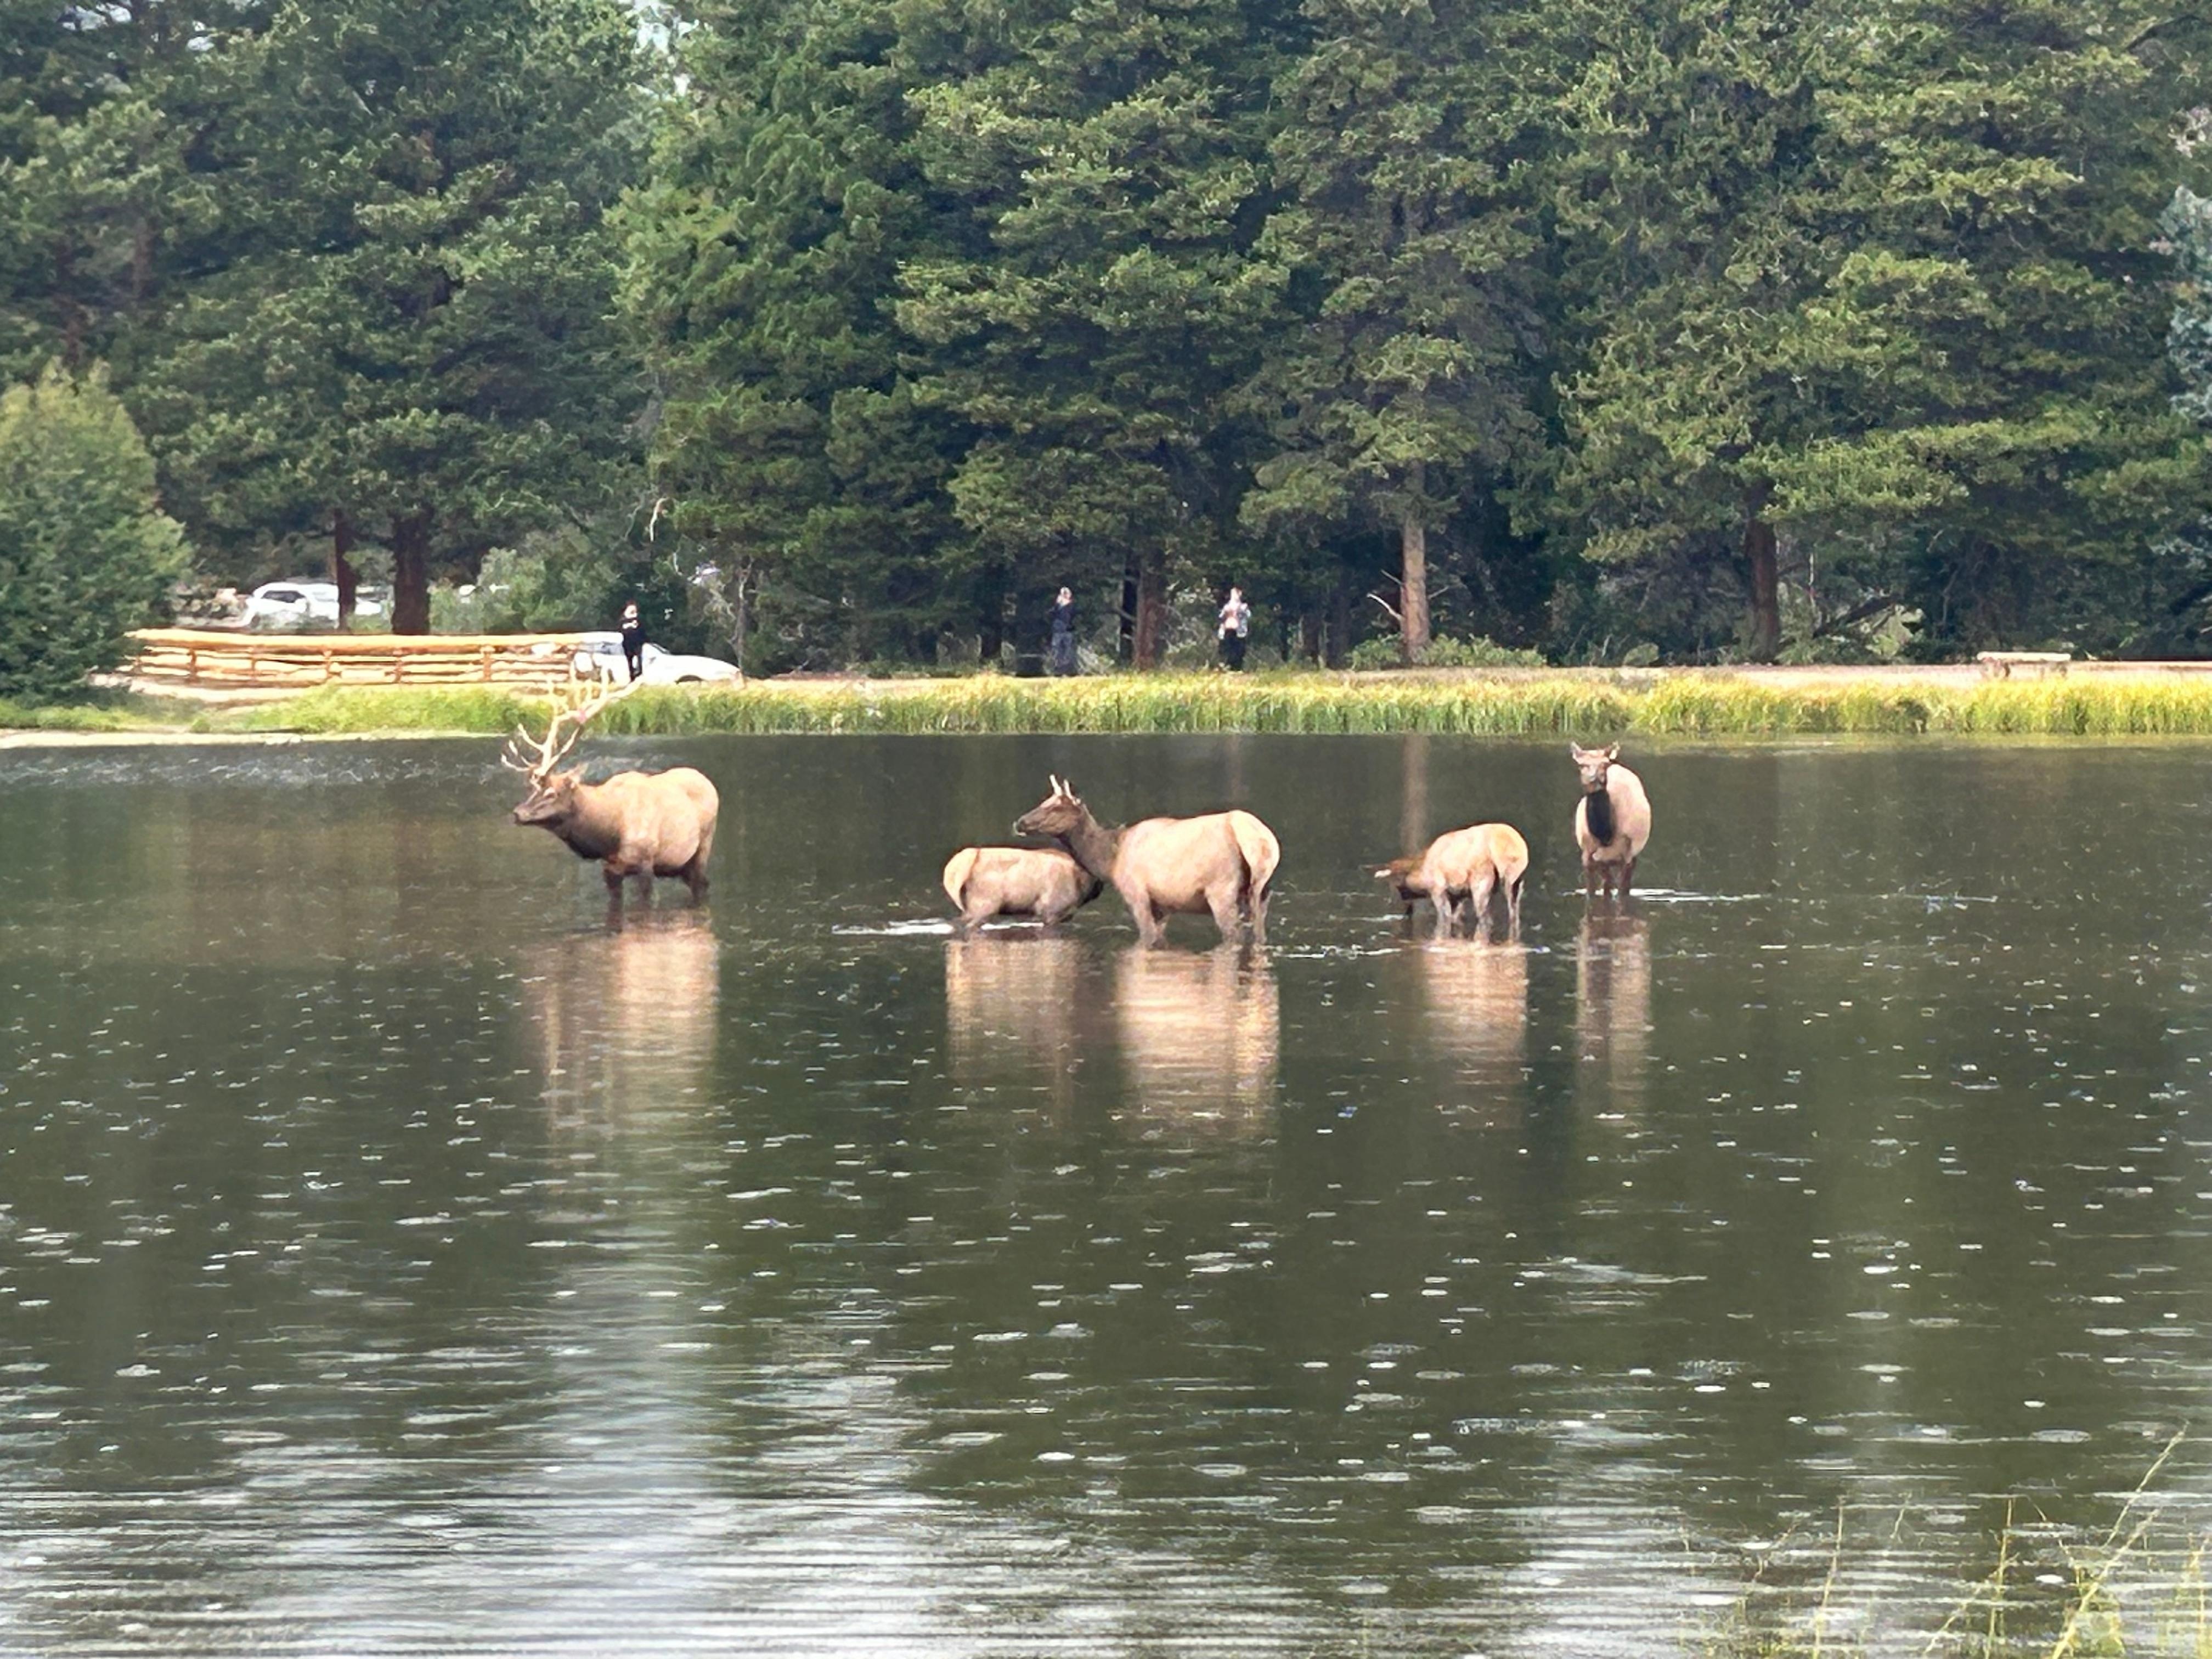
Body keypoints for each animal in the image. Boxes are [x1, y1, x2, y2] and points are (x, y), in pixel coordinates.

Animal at [503, 679, 720, 901]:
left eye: (552, 793)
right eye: (531, 790)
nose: (518, 812)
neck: (608, 835)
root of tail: (707, 781)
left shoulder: (646, 861)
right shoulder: (611, 869)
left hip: (703, 845)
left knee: (701, 882)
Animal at [1012, 776, 1280, 948]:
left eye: (1056, 808)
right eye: (1044, 802)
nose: (1020, 822)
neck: (1110, 861)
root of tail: (1259, 839)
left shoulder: (1136, 893)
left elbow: (1147, 937)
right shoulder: (1164, 904)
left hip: (1220, 888)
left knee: (1234, 934)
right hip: (1262, 891)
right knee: (1259, 932)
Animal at [1570, 742, 1651, 901]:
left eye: (1605, 764)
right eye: (1581, 765)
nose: (1593, 778)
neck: (1606, 835)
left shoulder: (1626, 854)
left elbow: (1621, 894)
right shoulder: (1587, 856)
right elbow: (1591, 893)